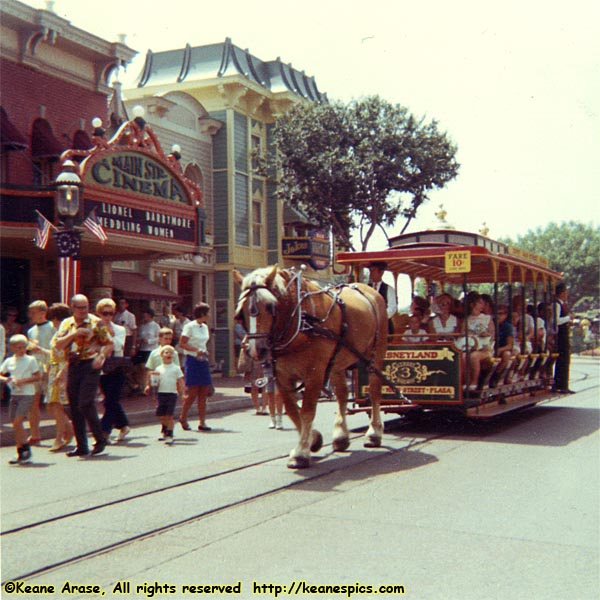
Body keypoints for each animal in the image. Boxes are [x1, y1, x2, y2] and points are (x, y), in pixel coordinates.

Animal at [234, 266, 390, 468]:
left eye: (270, 306)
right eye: (241, 313)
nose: (255, 349)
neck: (302, 322)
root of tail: (369, 290)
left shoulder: (315, 374)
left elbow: (307, 411)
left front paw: (301, 453)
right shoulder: (282, 376)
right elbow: (293, 411)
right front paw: (313, 440)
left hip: (375, 355)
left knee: (375, 392)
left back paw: (374, 434)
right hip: (337, 363)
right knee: (342, 395)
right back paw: (341, 437)